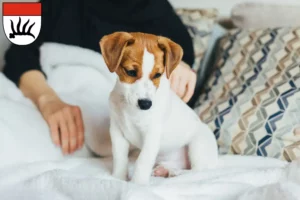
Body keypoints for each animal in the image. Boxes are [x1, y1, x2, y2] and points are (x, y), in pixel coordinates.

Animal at [99, 31, 218, 184]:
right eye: (130, 72)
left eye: (158, 75)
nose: (146, 104)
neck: (130, 109)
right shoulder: (117, 131)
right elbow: (120, 158)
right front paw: (118, 178)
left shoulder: (152, 134)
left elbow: (142, 161)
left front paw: (137, 183)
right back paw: (165, 170)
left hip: (198, 145)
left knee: (198, 171)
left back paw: (177, 173)